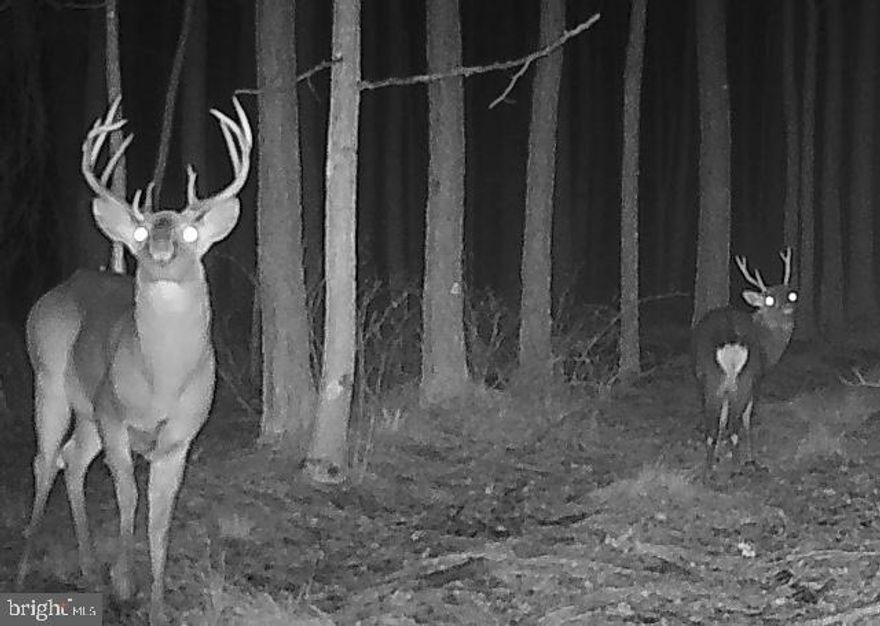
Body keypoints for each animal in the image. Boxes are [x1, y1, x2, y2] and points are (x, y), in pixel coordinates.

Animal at [15, 96, 251, 625]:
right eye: (141, 231)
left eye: (190, 230)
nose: (160, 249)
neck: (160, 380)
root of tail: (58, 289)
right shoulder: (114, 416)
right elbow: (127, 498)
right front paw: (124, 585)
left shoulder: (180, 438)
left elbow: (160, 519)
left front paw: (157, 603)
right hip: (50, 380)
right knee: (44, 460)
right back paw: (22, 568)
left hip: (85, 410)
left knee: (70, 460)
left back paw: (86, 569)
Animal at [691, 248, 797, 472]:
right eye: (769, 300)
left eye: (790, 295)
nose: (787, 308)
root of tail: (730, 338)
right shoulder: (757, 379)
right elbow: (747, 419)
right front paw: (750, 457)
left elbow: (722, 420)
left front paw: (719, 456)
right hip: (744, 378)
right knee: (735, 426)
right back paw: (738, 467)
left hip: (711, 379)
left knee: (712, 427)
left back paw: (709, 470)